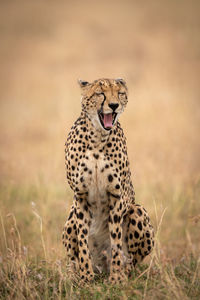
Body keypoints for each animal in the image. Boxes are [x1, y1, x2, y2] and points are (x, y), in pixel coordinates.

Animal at [62, 77, 155, 284]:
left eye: (120, 93)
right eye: (100, 93)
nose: (114, 105)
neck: (98, 137)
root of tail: (101, 266)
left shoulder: (116, 195)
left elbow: (116, 241)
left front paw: (116, 279)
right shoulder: (80, 196)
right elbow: (82, 241)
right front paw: (86, 277)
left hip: (137, 210)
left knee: (132, 261)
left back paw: (123, 272)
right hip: (70, 218)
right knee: (72, 259)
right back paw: (73, 275)